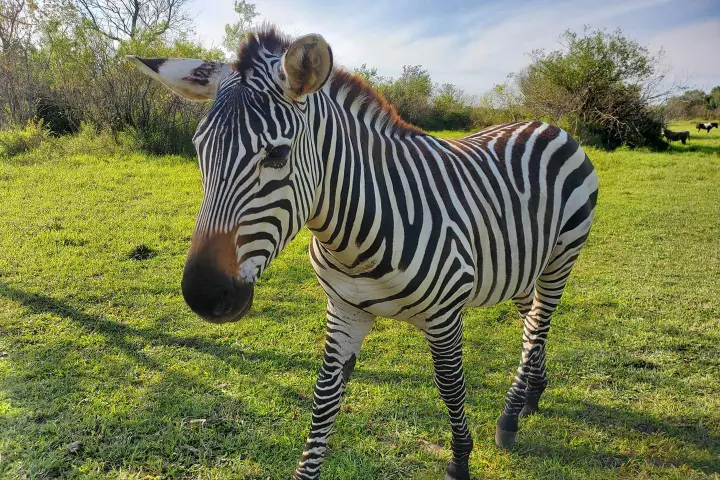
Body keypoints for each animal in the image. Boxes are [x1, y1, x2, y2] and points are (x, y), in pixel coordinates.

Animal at [127, 25, 598, 480]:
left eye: (277, 154)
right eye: (198, 150)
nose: (203, 296)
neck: (353, 241)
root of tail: (545, 124)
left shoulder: (446, 314)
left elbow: (449, 386)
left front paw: (460, 462)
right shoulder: (345, 309)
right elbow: (323, 398)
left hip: (562, 256)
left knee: (538, 324)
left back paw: (511, 416)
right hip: (521, 264)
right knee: (531, 322)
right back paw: (532, 393)